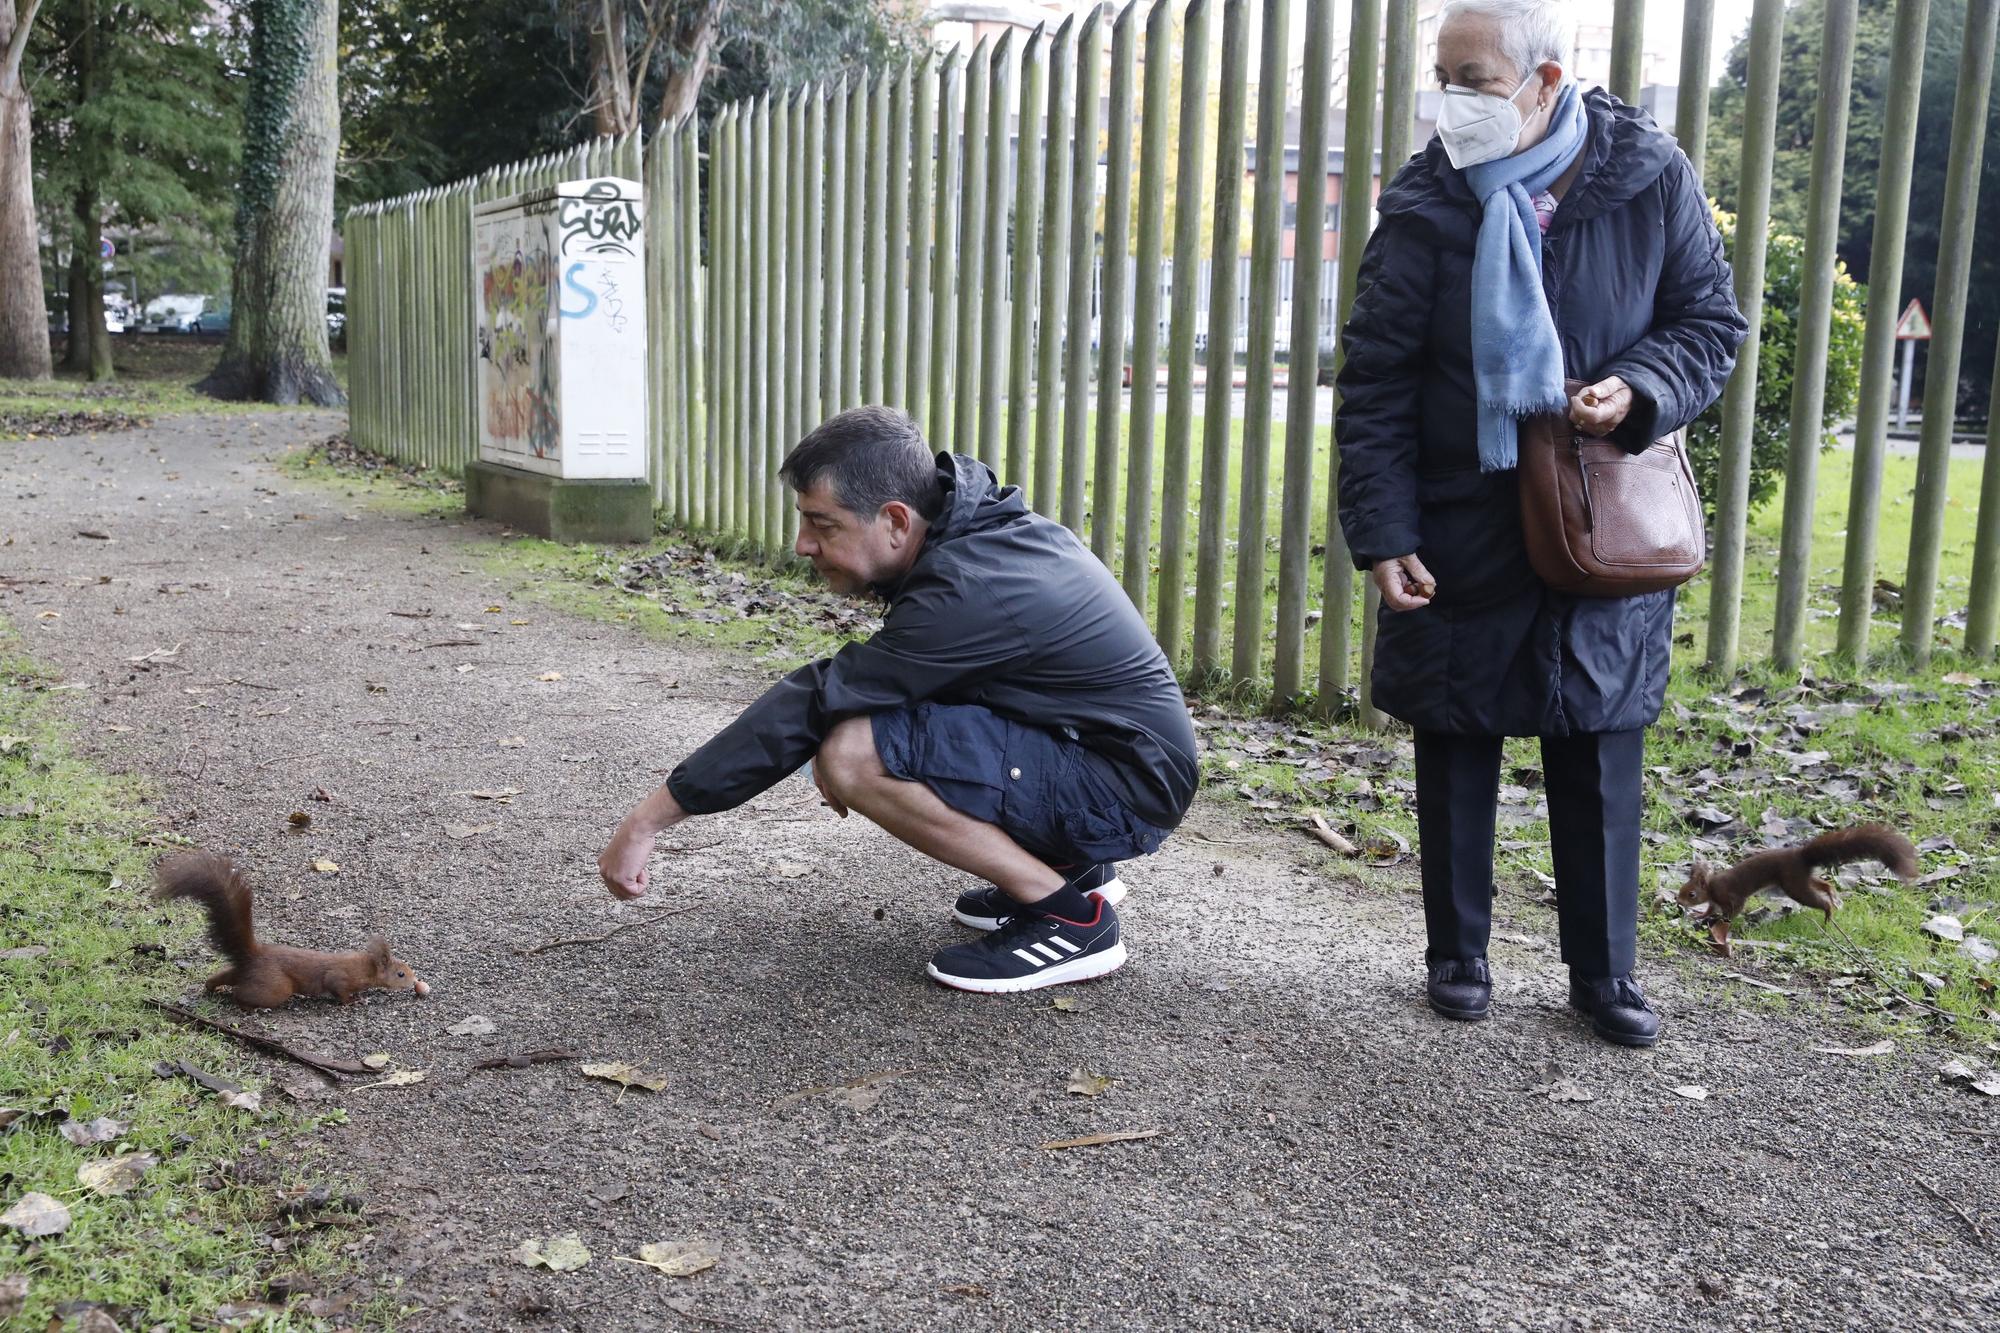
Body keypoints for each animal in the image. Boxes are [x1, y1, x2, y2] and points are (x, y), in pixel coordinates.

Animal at [158, 844, 432, 1000]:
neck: (367, 967)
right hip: (276, 986)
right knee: (242, 995)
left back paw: (210, 987)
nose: (414, 981)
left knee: (223, 976)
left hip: (243, 973)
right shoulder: (341, 977)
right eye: (400, 974)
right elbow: (338, 988)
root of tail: (252, 955)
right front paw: (353, 1001)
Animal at [1680, 816, 1912, 948]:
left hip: (1794, 885)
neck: (1711, 886)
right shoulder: (1714, 900)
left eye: (1691, 894)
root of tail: (1801, 856)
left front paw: (1721, 921)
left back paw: (1828, 915)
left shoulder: (1729, 894)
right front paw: (1700, 915)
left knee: (1819, 901)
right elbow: (1709, 909)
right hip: (1801, 879)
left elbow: (1733, 909)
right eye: (1682, 888)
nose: (1678, 901)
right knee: (1824, 884)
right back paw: (1833, 897)